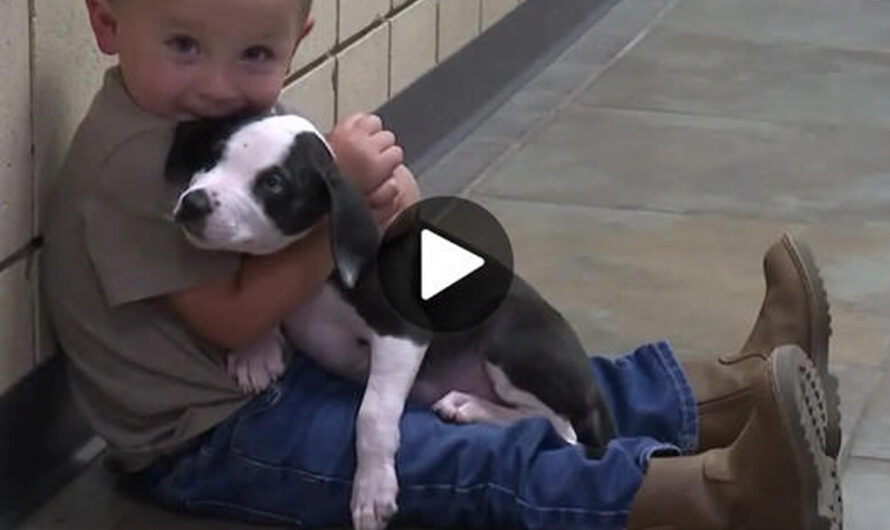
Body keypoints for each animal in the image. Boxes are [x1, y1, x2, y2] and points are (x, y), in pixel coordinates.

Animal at [165, 110, 612, 528]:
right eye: (214, 153)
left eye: (273, 183)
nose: (193, 203)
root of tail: (592, 393)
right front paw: (254, 351)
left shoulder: (403, 335)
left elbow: (373, 414)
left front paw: (373, 488)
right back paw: (468, 404)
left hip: (511, 343)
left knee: (562, 432)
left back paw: (471, 406)